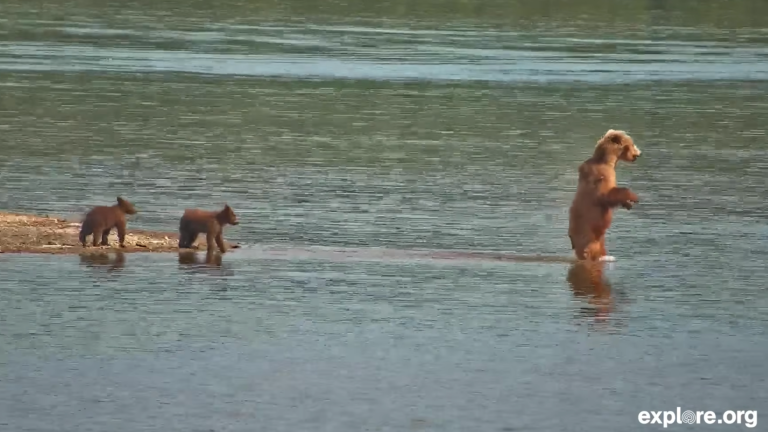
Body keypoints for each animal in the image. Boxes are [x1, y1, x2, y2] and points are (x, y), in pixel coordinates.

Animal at [568, 129, 642, 261]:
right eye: (632, 144)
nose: (639, 153)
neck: (608, 160)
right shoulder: (602, 176)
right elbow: (607, 194)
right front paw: (633, 197)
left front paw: (628, 204)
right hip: (585, 233)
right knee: (586, 250)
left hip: (599, 240)